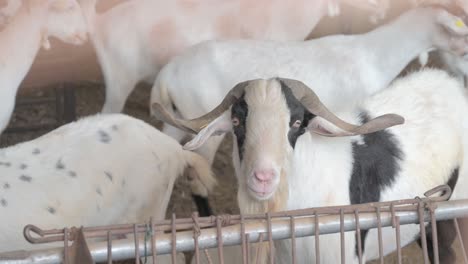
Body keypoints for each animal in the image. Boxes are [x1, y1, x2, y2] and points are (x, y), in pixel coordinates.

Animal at [150, 6, 468, 167]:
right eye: (463, 44)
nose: (465, 77)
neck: (372, 54)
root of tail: (167, 74)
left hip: (178, 118)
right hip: (206, 123)